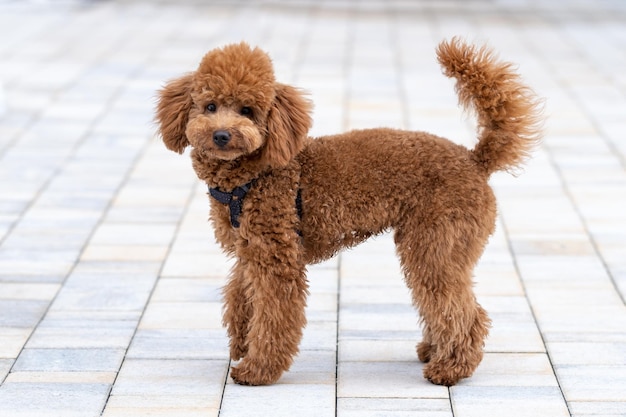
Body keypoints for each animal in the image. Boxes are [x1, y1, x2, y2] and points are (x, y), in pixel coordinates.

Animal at [154, 37, 540, 386]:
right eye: (209, 106)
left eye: (247, 111)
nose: (221, 135)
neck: (252, 175)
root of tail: (475, 159)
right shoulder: (249, 253)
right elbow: (241, 301)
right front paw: (241, 346)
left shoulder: (278, 259)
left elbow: (274, 317)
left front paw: (257, 370)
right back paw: (434, 351)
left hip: (436, 243)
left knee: (463, 311)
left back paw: (450, 368)